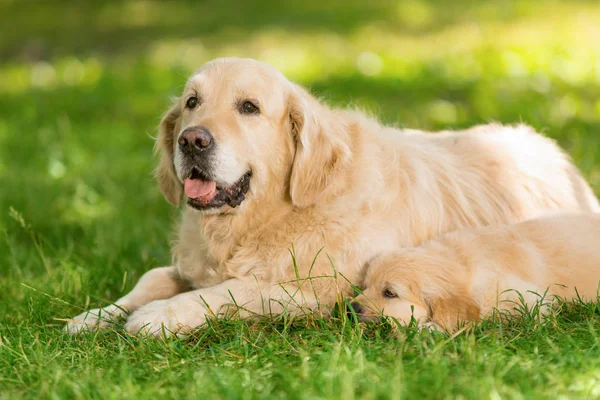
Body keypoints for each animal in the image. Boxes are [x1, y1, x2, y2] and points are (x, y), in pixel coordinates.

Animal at [354, 214, 600, 332]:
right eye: (365, 286)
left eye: (390, 293)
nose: (350, 308)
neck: (463, 264)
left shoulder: (527, 300)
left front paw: (429, 329)